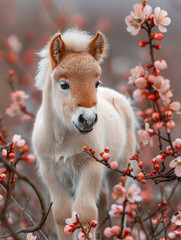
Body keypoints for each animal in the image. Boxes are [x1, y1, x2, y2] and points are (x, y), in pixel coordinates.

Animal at [32, 29, 137, 239]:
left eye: (96, 82)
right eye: (63, 84)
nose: (87, 119)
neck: (62, 139)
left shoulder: (90, 166)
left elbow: (85, 213)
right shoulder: (51, 171)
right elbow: (62, 214)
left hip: (119, 169)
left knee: (117, 204)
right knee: (104, 202)